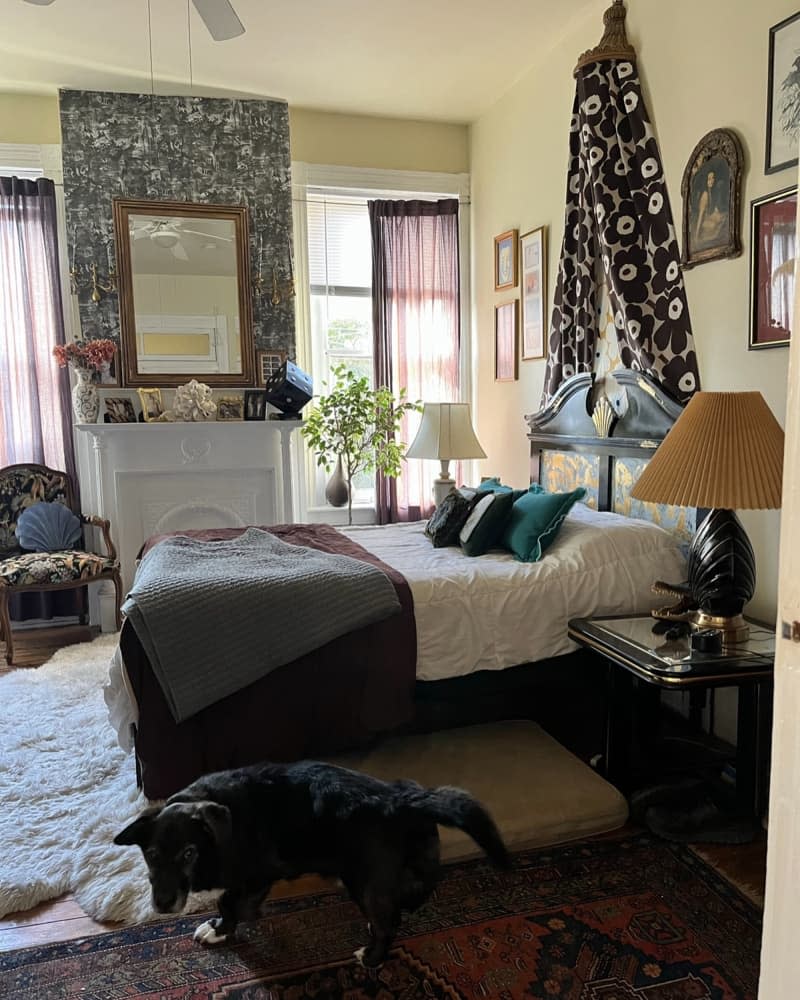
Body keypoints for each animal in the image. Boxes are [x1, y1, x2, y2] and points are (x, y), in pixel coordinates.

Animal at [114, 760, 506, 964]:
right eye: (151, 855)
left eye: (188, 853)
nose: (163, 904)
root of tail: (403, 799)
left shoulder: (259, 872)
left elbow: (228, 901)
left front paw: (220, 928)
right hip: (418, 857)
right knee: (416, 892)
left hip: (364, 880)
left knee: (388, 924)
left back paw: (372, 955)